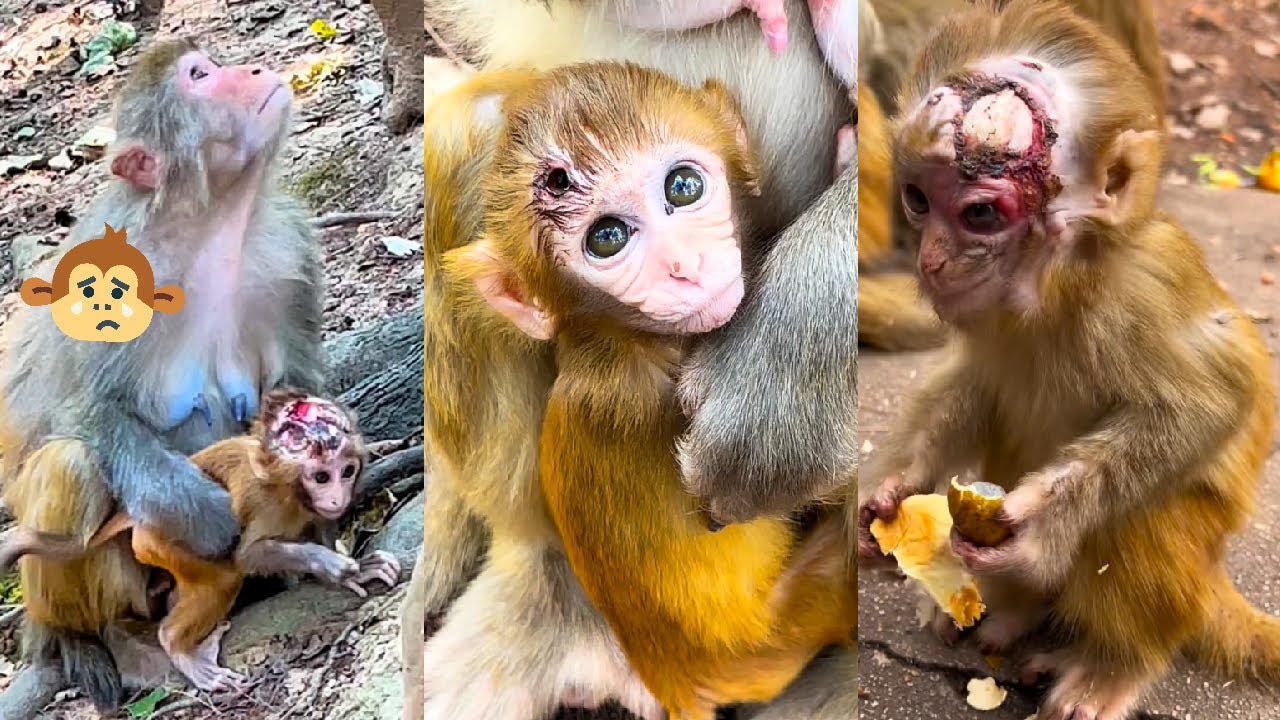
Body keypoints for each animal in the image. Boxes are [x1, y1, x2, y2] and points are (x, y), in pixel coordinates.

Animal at [0, 38, 323, 710]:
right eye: (200, 76)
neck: (208, 227)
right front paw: (204, 513)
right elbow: (88, 410)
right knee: (71, 462)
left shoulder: (289, 252)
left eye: (214, 62)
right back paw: (98, 639)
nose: (253, 68)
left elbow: (295, 390)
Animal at [0, 389, 401, 692]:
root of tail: (135, 514)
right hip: (160, 540)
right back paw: (177, 646)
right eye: (321, 476)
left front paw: (354, 570)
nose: (336, 498)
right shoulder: (267, 503)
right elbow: (248, 555)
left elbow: (322, 528)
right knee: (222, 577)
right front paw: (328, 564)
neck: (292, 491)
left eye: (346, 471)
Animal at [418, 2, 857, 717]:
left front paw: (788, 376)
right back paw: (548, 587)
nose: (683, 266)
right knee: (462, 130)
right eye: (608, 238)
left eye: (683, 188)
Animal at [856, 3, 1280, 719]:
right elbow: (973, 383)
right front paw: (888, 488)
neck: (1059, 288)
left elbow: (1215, 401)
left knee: (1152, 506)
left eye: (979, 213)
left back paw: (1112, 665)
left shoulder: (1141, 289)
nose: (932, 261)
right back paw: (1012, 612)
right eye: (918, 199)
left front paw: (1039, 529)